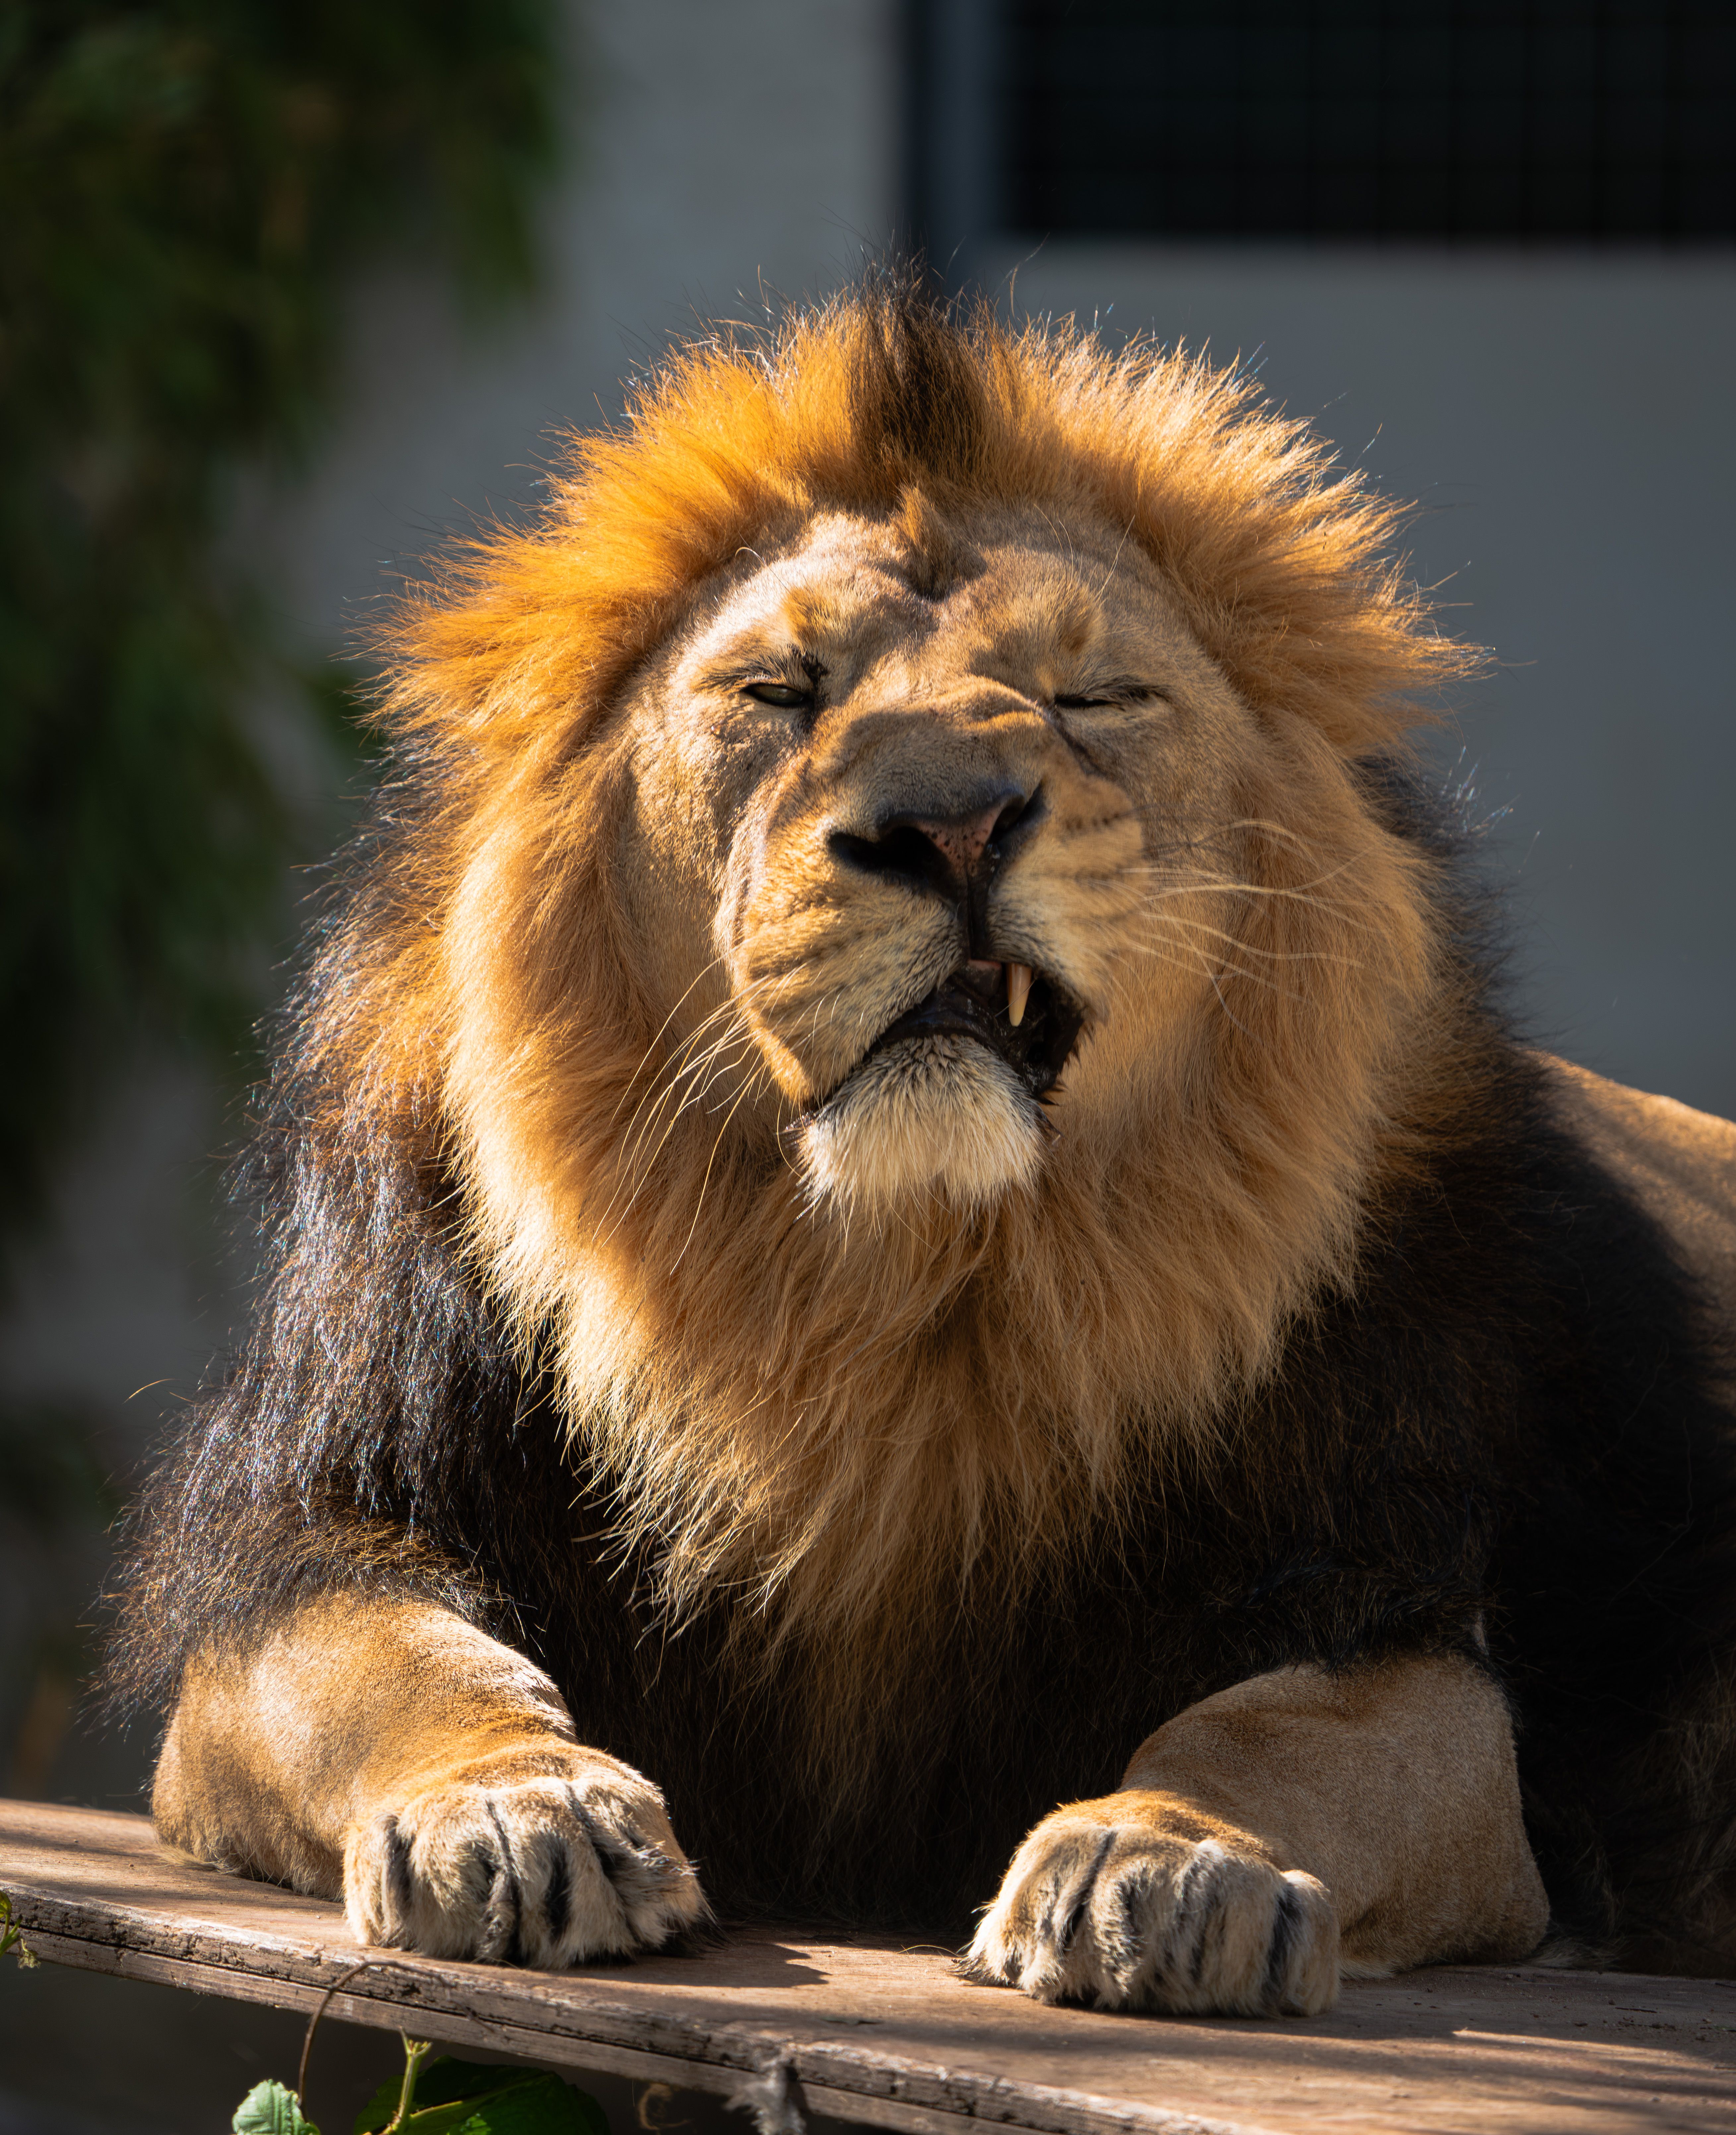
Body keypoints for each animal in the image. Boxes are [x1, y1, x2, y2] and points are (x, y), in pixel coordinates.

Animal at [108, 275, 1736, 2017]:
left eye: (1094, 698)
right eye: (777, 693)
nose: (947, 820)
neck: (900, 1296)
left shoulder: (1394, 1603)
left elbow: (1278, 1731)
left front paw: (1160, 1860)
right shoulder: (300, 1548)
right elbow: (396, 1662)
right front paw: (515, 1806)